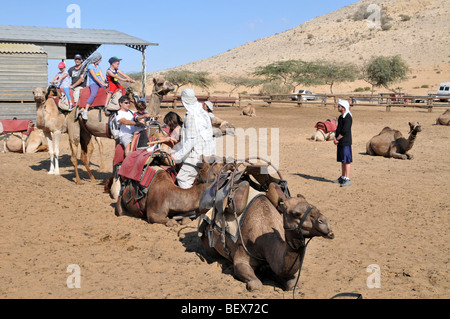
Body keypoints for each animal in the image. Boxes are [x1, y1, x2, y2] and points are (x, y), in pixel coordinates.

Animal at [200, 182, 334, 292]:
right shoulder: (241, 257)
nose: (325, 223)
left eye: (314, 207)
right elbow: (256, 284)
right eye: (296, 213)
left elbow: (292, 283)